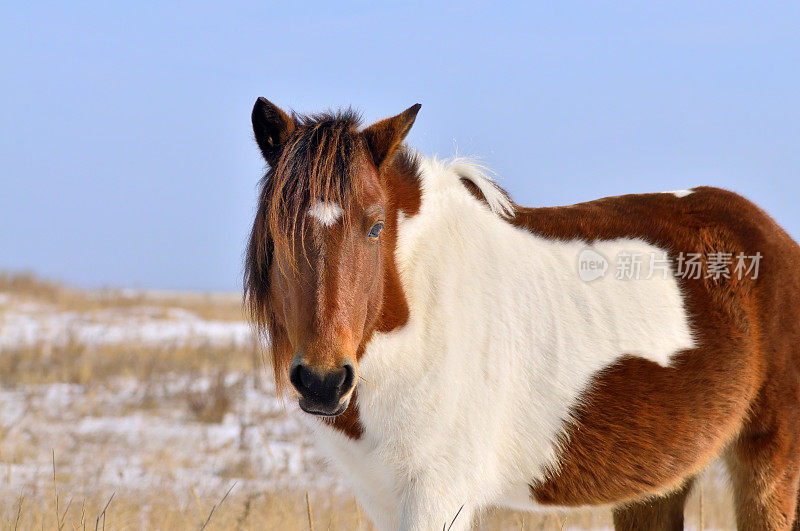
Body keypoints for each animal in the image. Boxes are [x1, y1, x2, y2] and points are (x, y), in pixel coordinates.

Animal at [245, 98, 800, 528]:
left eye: (375, 226)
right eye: (278, 230)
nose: (323, 382)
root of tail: (772, 236)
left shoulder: (437, 493)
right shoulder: (382, 497)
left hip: (769, 464)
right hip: (658, 481)